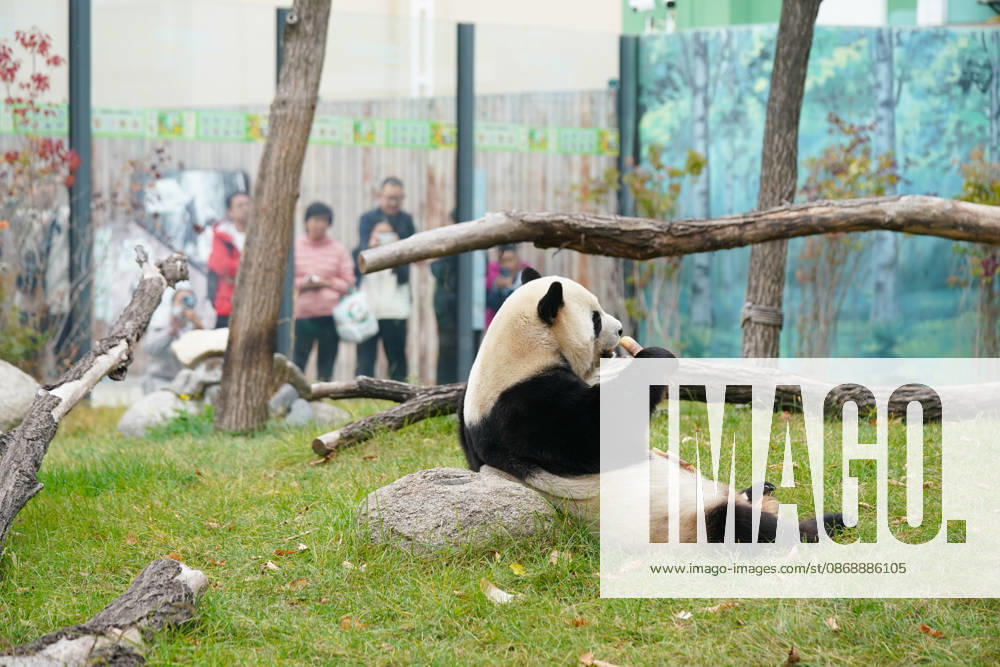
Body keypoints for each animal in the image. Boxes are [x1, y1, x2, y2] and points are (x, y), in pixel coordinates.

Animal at [459, 267, 841, 543]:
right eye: (596, 318)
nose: (620, 329)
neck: (521, 351)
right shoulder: (524, 407)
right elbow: (594, 432)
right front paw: (655, 356)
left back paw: (764, 491)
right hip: (683, 520)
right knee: (744, 526)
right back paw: (824, 524)